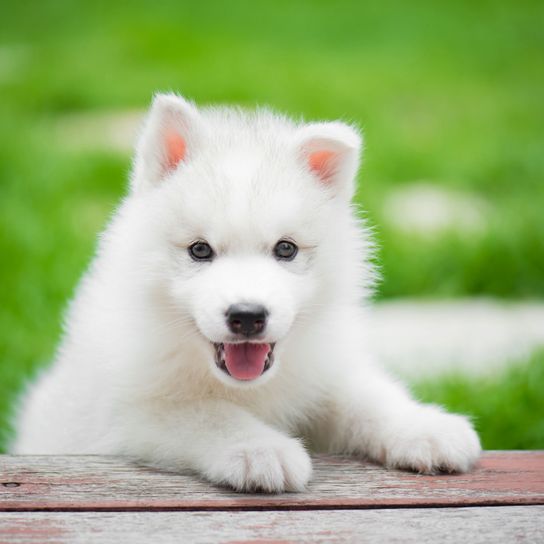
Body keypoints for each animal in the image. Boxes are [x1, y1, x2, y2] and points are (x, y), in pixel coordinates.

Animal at [12, 93, 480, 492]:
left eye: (286, 249)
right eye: (200, 250)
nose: (248, 316)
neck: (247, 389)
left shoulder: (322, 369)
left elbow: (364, 396)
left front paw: (425, 428)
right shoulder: (129, 413)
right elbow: (207, 413)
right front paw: (261, 450)